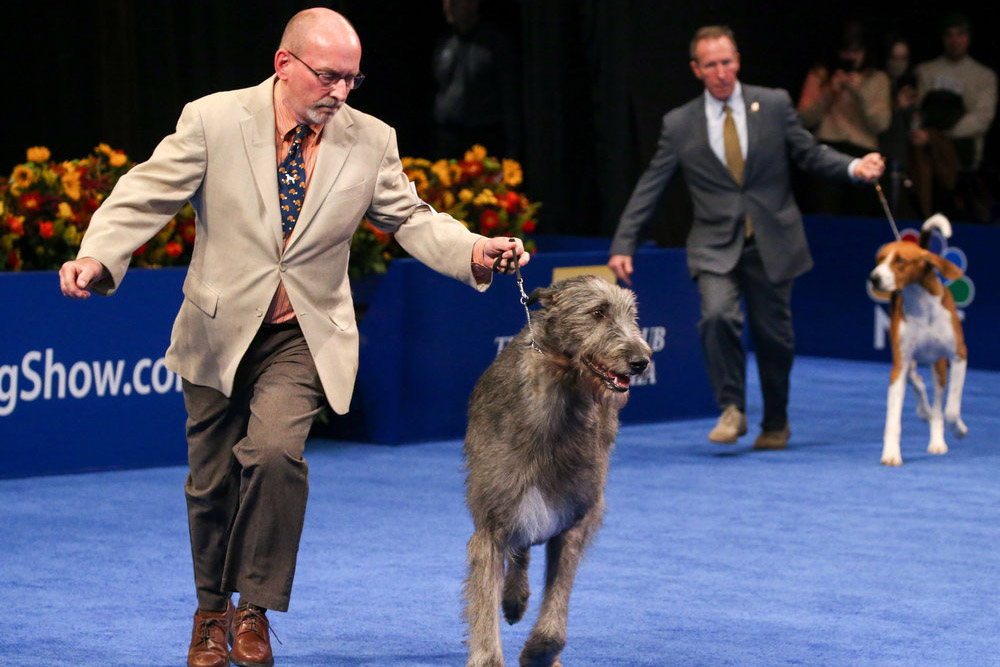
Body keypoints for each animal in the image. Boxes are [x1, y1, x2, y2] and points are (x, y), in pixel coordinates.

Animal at [868, 214, 968, 464]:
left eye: (900, 261)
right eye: (879, 259)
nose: (874, 278)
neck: (922, 306)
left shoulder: (959, 355)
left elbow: (950, 410)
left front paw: (958, 429)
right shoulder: (900, 364)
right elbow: (893, 418)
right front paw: (891, 453)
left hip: (939, 364)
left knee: (939, 404)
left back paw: (937, 440)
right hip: (908, 360)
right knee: (917, 381)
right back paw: (924, 411)